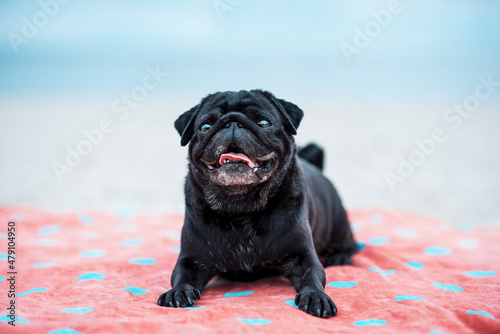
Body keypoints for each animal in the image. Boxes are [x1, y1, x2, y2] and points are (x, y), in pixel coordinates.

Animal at [158, 89, 358, 318]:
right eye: (205, 127)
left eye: (263, 123)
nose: (232, 122)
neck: (240, 205)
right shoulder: (191, 259)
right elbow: (181, 275)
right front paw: (178, 291)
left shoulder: (303, 256)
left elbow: (313, 275)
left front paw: (316, 296)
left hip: (339, 226)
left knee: (351, 245)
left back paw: (340, 259)